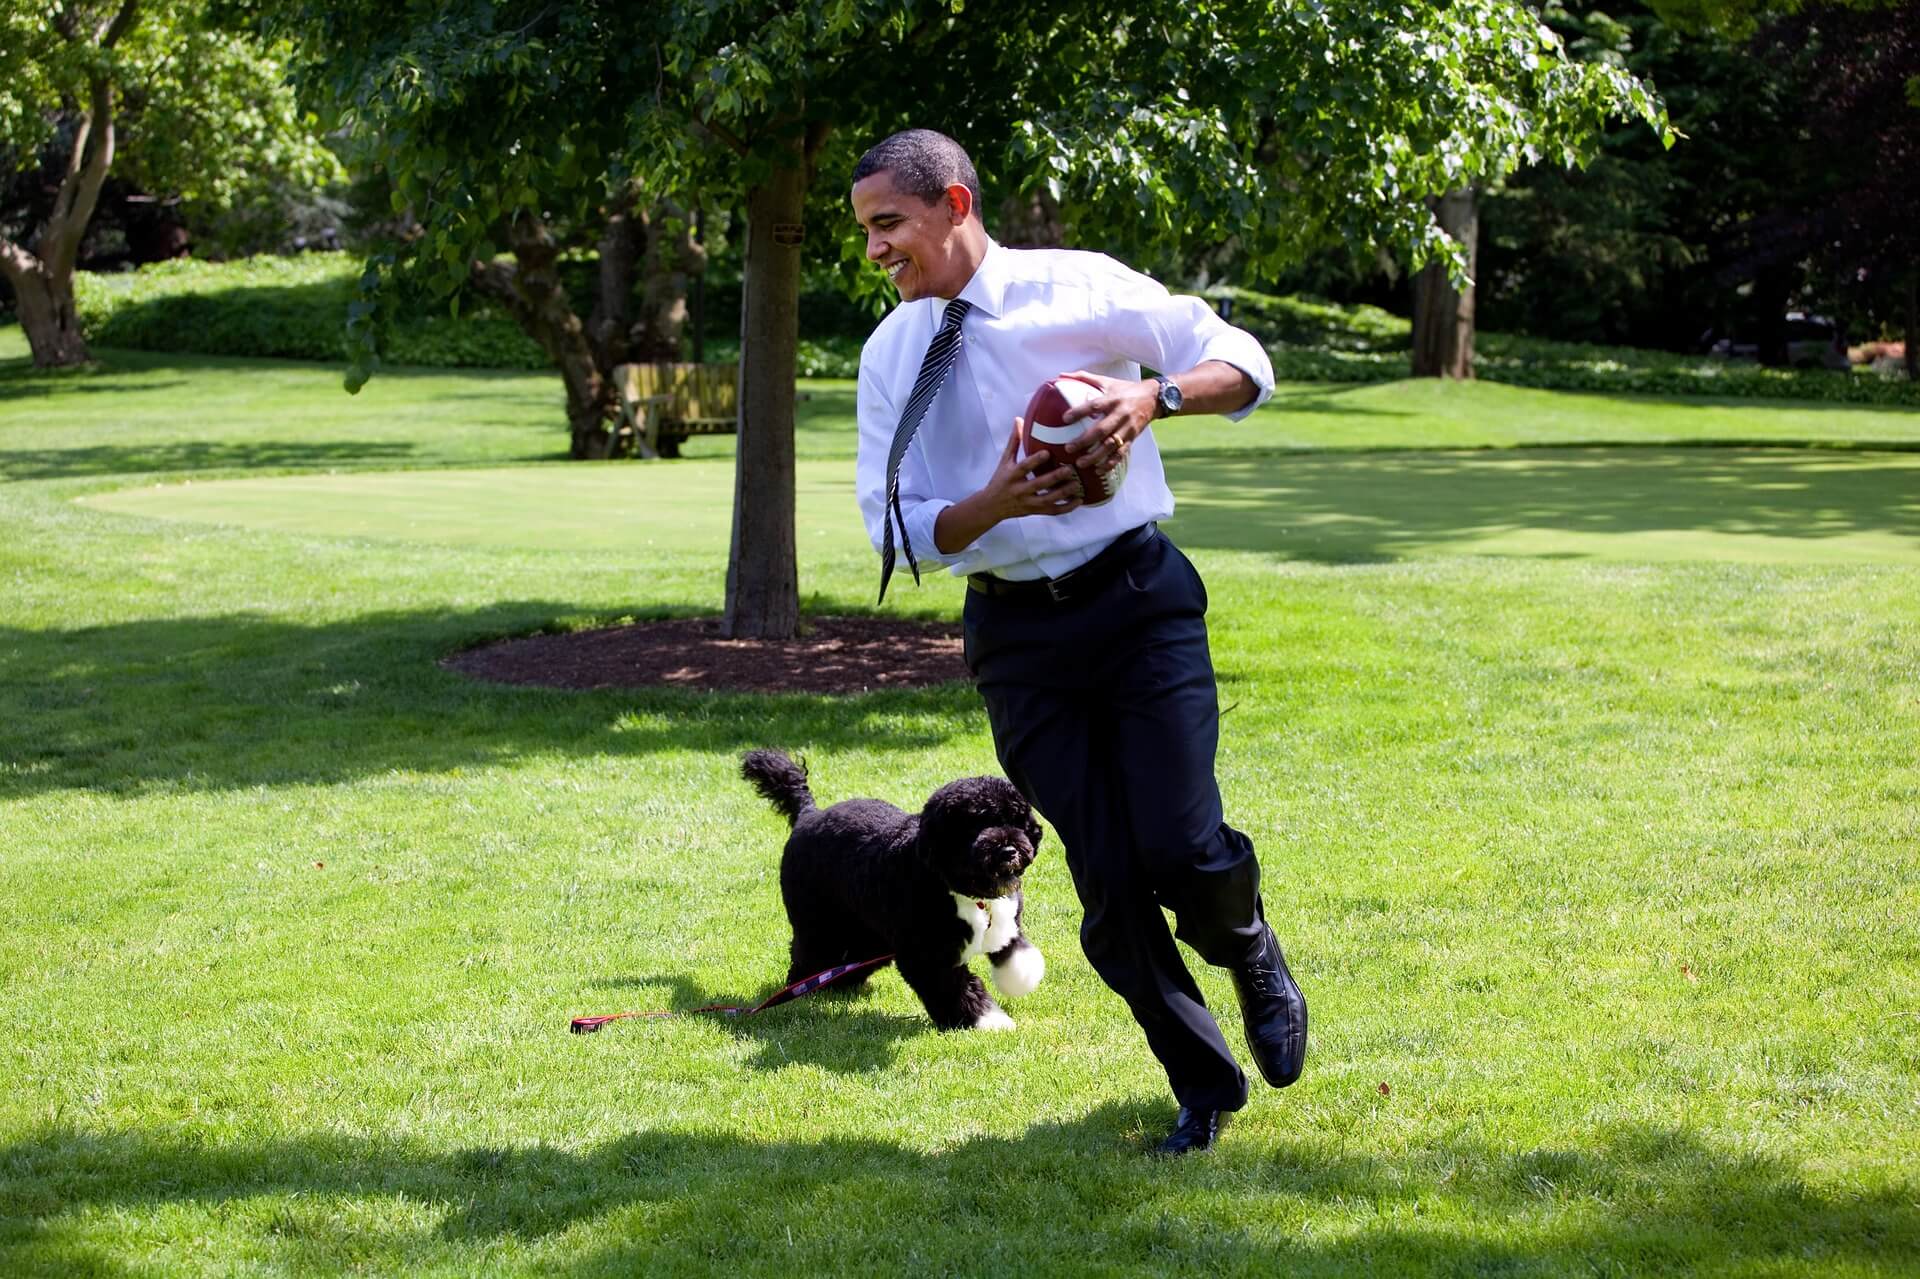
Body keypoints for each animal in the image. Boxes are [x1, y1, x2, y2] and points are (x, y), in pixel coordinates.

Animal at [737, 748, 1044, 1029]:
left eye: (1015, 820)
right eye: (973, 825)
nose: (1008, 851)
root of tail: (808, 814)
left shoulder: (1006, 920)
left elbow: (1013, 952)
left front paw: (1021, 979)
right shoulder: (925, 955)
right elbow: (958, 990)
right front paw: (988, 1021)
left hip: (868, 932)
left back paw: (842, 984)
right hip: (817, 922)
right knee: (810, 953)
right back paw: (802, 988)